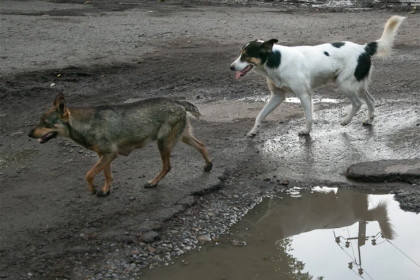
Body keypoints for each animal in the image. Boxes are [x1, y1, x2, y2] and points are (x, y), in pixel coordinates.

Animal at [231, 15, 406, 136]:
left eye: (246, 55)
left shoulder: (304, 94)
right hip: (358, 84)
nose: (231, 67)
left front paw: (306, 131)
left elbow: (308, 116)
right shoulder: (277, 96)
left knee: (358, 103)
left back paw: (346, 121)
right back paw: (369, 119)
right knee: (371, 100)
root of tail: (364, 48)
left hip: (345, 84)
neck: (276, 61)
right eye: (240, 53)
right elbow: (260, 115)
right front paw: (253, 131)